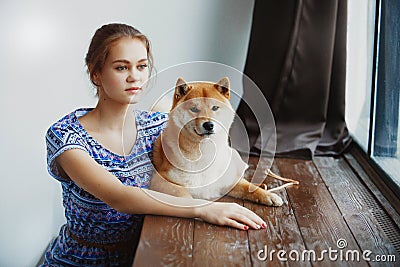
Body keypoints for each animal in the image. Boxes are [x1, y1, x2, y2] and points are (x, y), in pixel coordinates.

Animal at [148, 77, 296, 207]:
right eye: (194, 109)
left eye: (215, 108)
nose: (208, 125)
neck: (205, 153)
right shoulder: (160, 181)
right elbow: (184, 195)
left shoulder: (230, 181)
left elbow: (250, 187)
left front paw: (269, 195)